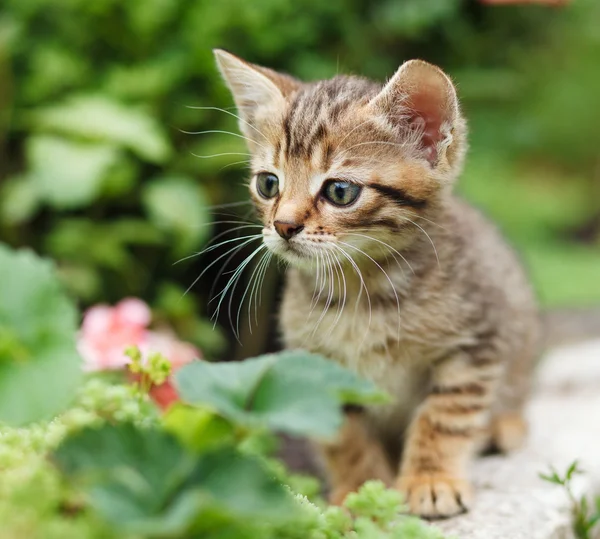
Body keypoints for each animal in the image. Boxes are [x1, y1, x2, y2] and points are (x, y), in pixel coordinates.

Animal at [214, 49, 540, 520]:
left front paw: (431, 480)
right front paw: (360, 491)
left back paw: (504, 425)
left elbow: (445, 414)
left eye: (340, 191)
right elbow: (343, 434)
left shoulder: (477, 341)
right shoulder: (318, 363)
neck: (361, 292)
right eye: (268, 183)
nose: (283, 226)